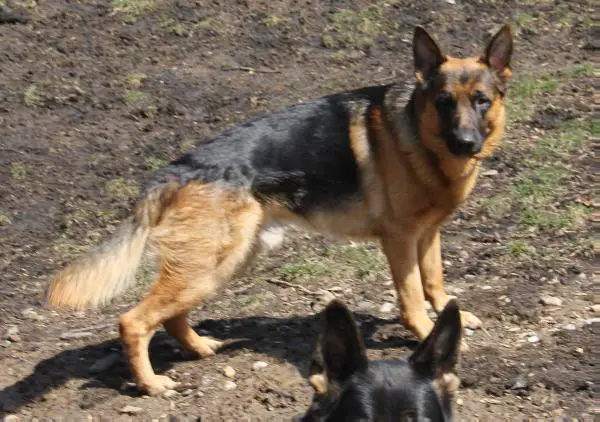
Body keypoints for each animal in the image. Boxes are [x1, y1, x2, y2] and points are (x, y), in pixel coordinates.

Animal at [45, 24, 513, 395]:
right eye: (444, 101)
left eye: (481, 101)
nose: (466, 143)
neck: (418, 135)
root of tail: (176, 169)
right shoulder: (399, 241)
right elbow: (413, 296)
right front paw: (425, 334)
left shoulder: (427, 234)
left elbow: (435, 281)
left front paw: (451, 314)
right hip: (212, 264)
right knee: (134, 321)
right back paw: (151, 384)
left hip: (223, 262)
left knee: (172, 314)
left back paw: (199, 348)